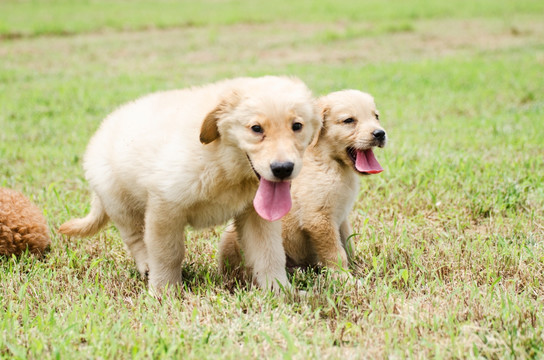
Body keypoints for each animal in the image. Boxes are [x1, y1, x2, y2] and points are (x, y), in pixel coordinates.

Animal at [59, 76, 320, 292]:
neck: (223, 160)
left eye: (297, 126)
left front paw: (281, 292)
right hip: (121, 203)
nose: (283, 169)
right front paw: (164, 293)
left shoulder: (256, 215)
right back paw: (146, 266)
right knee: (134, 237)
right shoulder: (165, 206)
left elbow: (269, 254)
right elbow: (168, 254)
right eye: (256, 129)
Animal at [218, 89, 386, 276]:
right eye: (349, 120)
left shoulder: (341, 218)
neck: (330, 162)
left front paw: (356, 267)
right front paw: (343, 276)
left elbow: (348, 245)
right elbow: (335, 252)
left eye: (376, 116)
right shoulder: (319, 218)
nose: (380, 133)